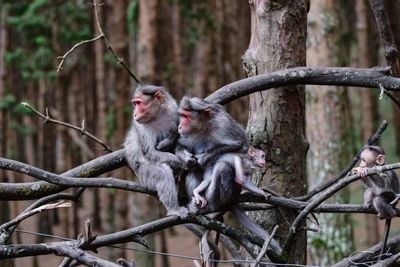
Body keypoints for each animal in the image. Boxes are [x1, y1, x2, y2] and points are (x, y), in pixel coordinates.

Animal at [124, 85, 188, 219]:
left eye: (138, 103)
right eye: (135, 103)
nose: (135, 113)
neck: (157, 115)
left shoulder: (173, 108)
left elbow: (178, 132)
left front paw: (170, 140)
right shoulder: (140, 126)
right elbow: (150, 152)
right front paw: (182, 163)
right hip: (144, 175)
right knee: (162, 172)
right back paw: (174, 209)